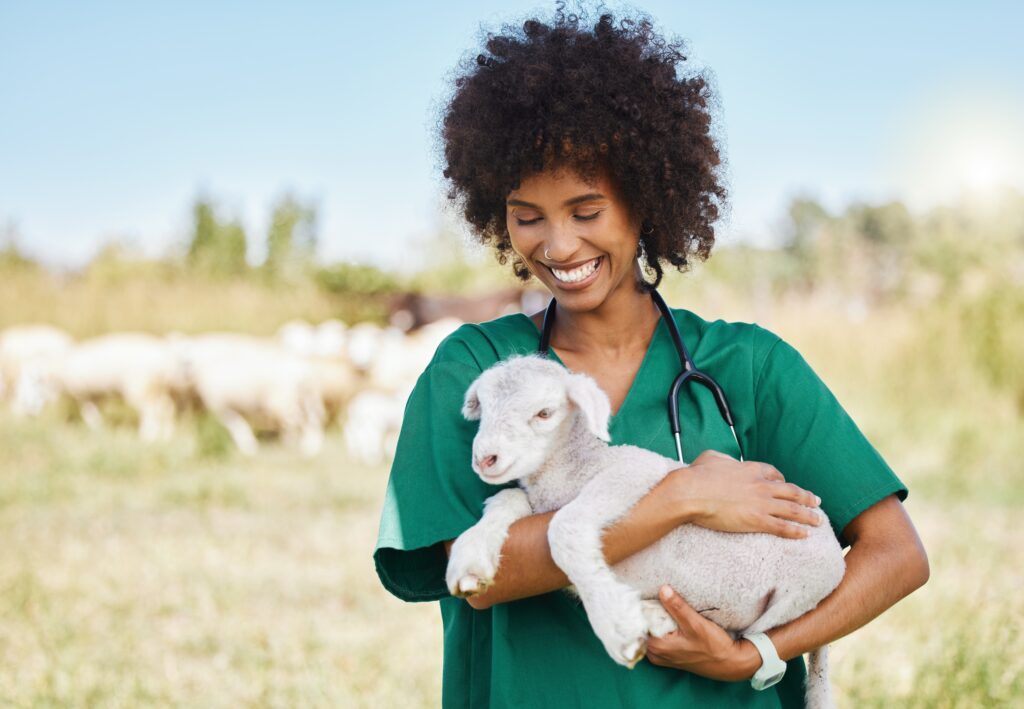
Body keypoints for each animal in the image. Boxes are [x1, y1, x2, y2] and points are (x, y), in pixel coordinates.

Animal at [444, 354, 843, 709]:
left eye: (544, 413)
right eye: (484, 408)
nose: (485, 458)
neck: (572, 473)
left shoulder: (637, 471)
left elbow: (564, 526)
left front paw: (616, 625)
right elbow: (507, 498)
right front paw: (469, 561)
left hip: (801, 591)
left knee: (743, 634)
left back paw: (657, 616)